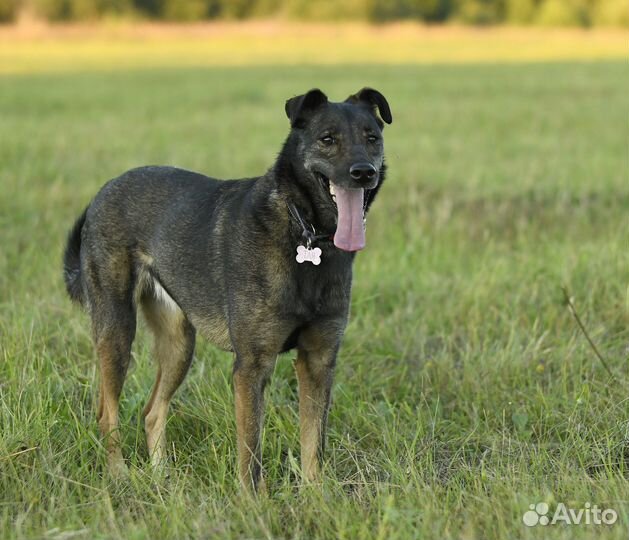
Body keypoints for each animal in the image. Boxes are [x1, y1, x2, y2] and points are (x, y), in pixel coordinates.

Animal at [62, 88, 388, 490]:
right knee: (108, 413)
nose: (363, 172)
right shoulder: (252, 365)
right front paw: (252, 500)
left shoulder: (319, 359)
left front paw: (316, 495)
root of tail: (103, 192)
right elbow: (250, 452)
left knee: (152, 410)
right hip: (117, 331)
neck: (305, 233)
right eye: (328, 139)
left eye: (372, 138)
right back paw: (120, 475)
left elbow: (313, 444)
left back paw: (161, 476)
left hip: (179, 344)